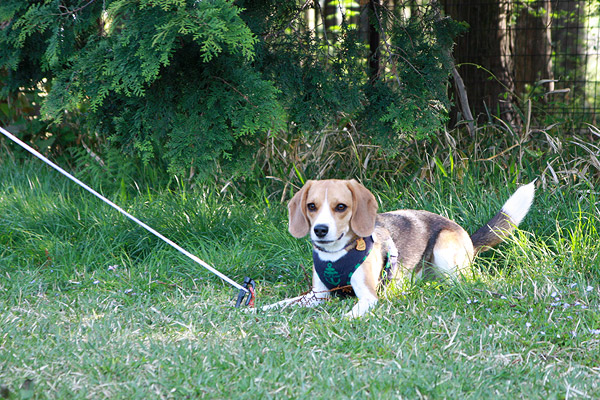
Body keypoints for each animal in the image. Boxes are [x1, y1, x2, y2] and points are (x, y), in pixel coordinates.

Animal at [262, 180, 536, 318]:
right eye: (311, 206)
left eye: (341, 207)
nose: (320, 230)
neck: (336, 254)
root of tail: (468, 237)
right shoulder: (317, 295)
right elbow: (282, 303)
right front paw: (259, 309)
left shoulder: (368, 297)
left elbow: (353, 311)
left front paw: (343, 319)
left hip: (445, 249)